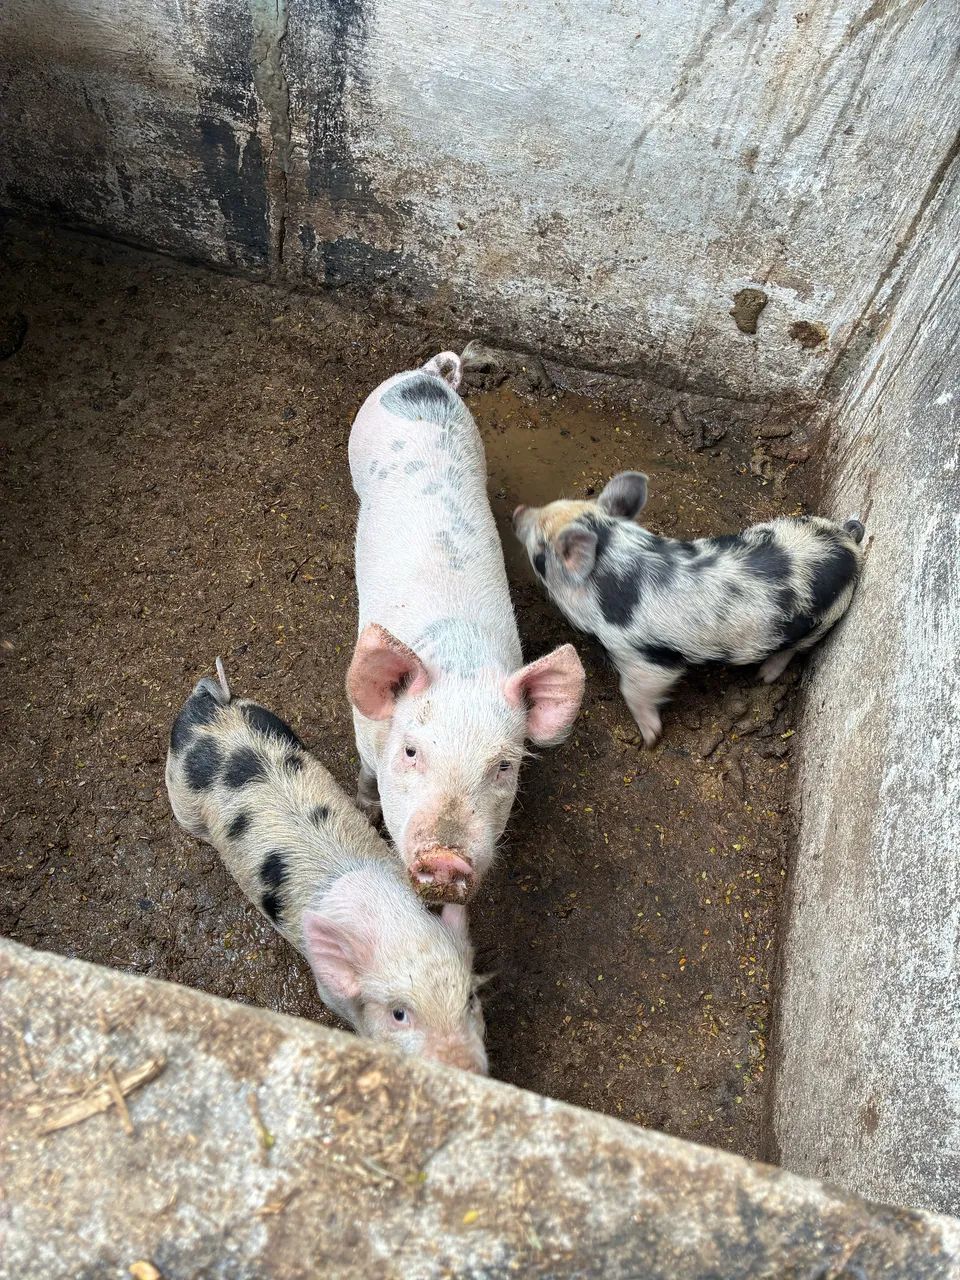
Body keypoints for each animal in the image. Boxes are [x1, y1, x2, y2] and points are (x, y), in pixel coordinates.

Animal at [165, 661, 487, 1073]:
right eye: (399, 1014)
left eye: (470, 1000)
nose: (466, 1071)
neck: (390, 919)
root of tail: (209, 702)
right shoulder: (328, 989)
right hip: (180, 792)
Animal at [346, 351, 585, 904]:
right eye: (411, 750)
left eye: (503, 767)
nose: (446, 860)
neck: (460, 661)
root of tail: (425, 377)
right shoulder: (363, 731)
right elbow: (367, 774)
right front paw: (366, 806)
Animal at [513, 472, 865, 745]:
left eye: (540, 552)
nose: (518, 511)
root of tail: (846, 542)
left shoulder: (646, 656)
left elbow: (634, 689)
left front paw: (650, 737)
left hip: (825, 618)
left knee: (792, 650)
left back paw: (764, 677)